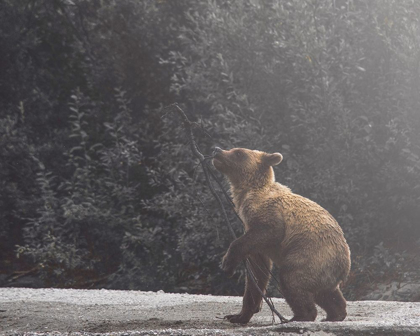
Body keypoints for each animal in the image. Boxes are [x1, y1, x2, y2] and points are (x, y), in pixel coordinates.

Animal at [212, 146, 352, 322]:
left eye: (238, 152)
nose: (217, 150)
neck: (246, 194)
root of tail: (345, 267)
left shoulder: (268, 216)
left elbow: (268, 232)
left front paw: (227, 265)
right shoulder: (253, 236)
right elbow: (257, 274)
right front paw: (238, 316)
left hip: (313, 255)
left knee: (292, 279)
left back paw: (300, 316)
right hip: (324, 271)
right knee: (326, 293)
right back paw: (334, 314)